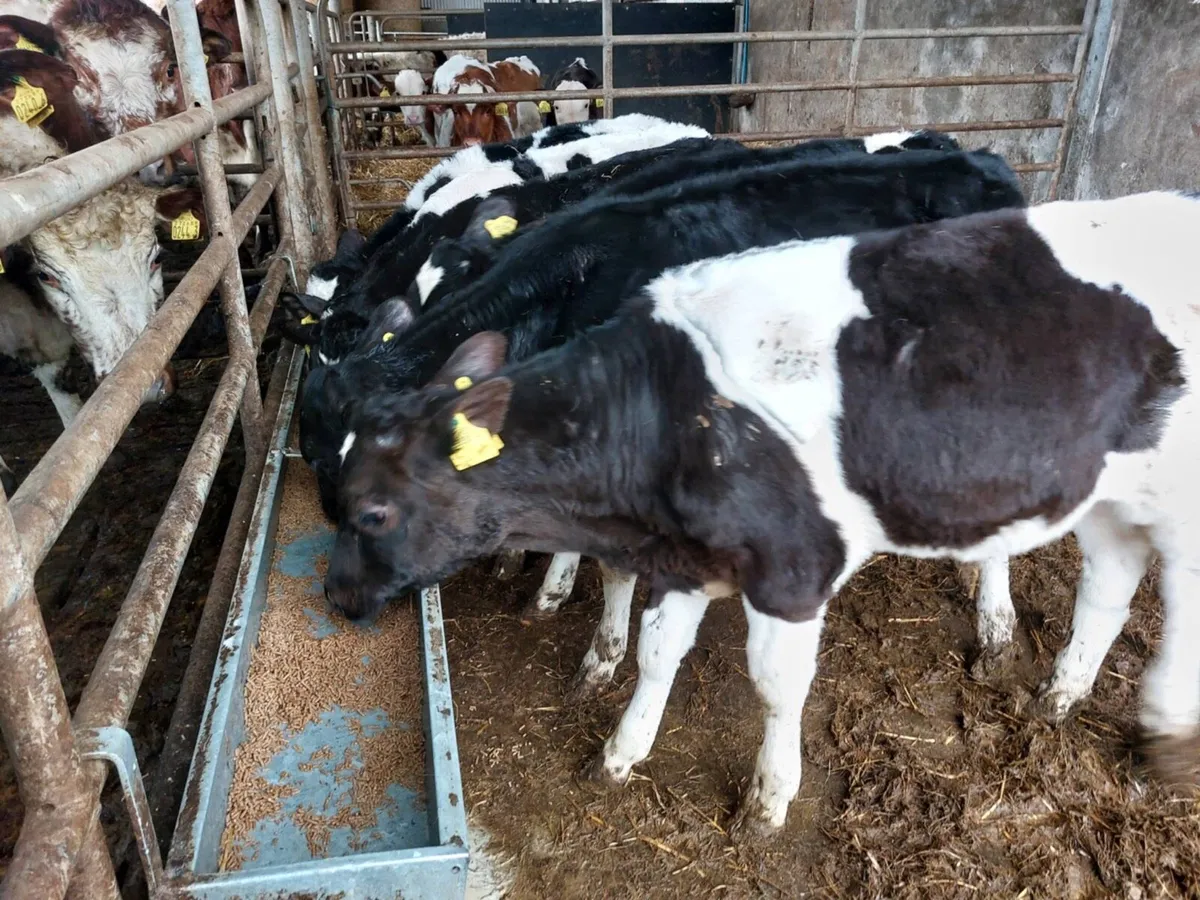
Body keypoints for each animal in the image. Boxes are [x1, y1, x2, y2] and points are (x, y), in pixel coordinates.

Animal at [308, 147, 1025, 697]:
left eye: (373, 505)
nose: (336, 596)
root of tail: (980, 161)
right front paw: (550, 589)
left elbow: (617, 564)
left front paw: (599, 657)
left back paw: (995, 628)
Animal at [331, 189, 1200, 835]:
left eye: (371, 512)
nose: (334, 595)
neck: (668, 409)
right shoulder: (683, 556)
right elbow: (655, 654)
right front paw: (619, 753)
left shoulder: (794, 567)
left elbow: (777, 687)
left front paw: (770, 797)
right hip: (1110, 492)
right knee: (1109, 585)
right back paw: (1059, 695)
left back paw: (1163, 733)